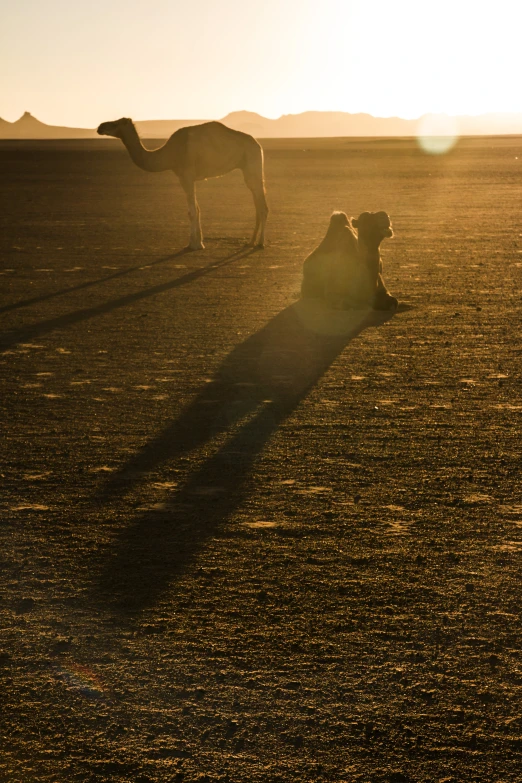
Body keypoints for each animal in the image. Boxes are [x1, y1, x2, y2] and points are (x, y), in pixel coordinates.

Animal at [96, 118, 268, 251]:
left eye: (116, 123)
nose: (100, 127)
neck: (169, 153)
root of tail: (258, 144)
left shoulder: (186, 176)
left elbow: (192, 211)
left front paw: (193, 245)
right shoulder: (185, 177)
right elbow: (195, 209)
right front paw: (197, 243)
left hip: (252, 164)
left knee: (262, 204)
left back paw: (260, 243)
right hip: (248, 168)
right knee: (257, 203)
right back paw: (251, 242)